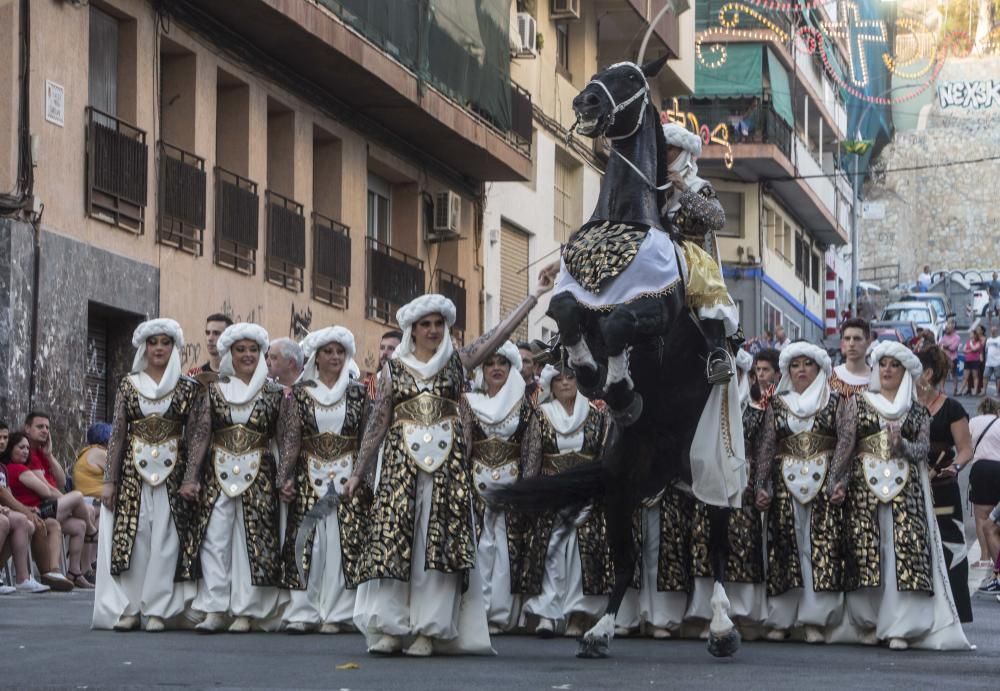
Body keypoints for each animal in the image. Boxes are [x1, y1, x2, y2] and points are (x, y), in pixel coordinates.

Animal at [494, 58, 744, 660]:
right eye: (601, 71)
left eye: (631, 78)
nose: (585, 102)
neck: (623, 226)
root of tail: (670, 468)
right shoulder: (572, 300)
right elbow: (569, 313)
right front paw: (593, 373)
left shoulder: (656, 309)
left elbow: (617, 323)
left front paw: (619, 384)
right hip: (620, 485)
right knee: (626, 563)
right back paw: (600, 630)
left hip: (712, 476)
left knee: (718, 552)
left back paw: (722, 628)